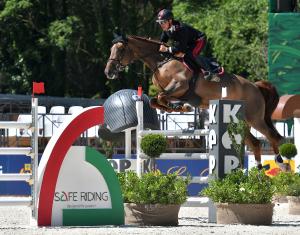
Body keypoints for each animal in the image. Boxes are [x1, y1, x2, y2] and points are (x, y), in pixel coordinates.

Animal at [105, 35, 284, 167]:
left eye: (120, 49)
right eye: (111, 49)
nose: (108, 72)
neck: (161, 62)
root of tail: (255, 86)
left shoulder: (180, 85)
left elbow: (162, 97)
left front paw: (181, 107)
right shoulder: (173, 92)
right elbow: (155, 101)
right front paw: (178, 108)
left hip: (254, 119)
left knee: (273, 137)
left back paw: (281, 163)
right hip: (240, 122)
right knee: (255, 143)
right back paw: (259, 172)